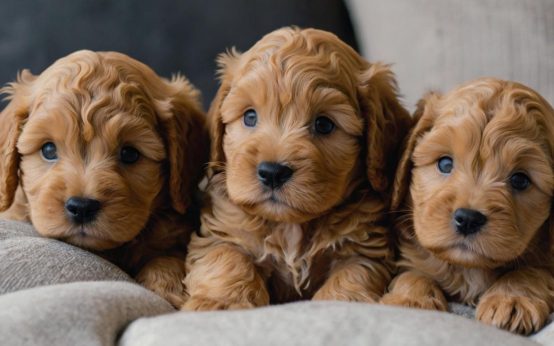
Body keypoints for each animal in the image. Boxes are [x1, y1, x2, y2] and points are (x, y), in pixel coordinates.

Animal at [181, 27, 410, 310]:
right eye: (250, 116)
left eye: (324, 124)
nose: (272, 172)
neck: (290, 226)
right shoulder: (223, 232)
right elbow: (229, 258)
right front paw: (220, 303)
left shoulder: (364, 249)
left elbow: (350, 277)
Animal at [382, 79, 552, 336]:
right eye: (445, 163)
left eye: (520, 180)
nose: (468, 219)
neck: (468, 267)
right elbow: (413, 273)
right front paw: (411, 300)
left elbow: (531, 271)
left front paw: (511, 299)